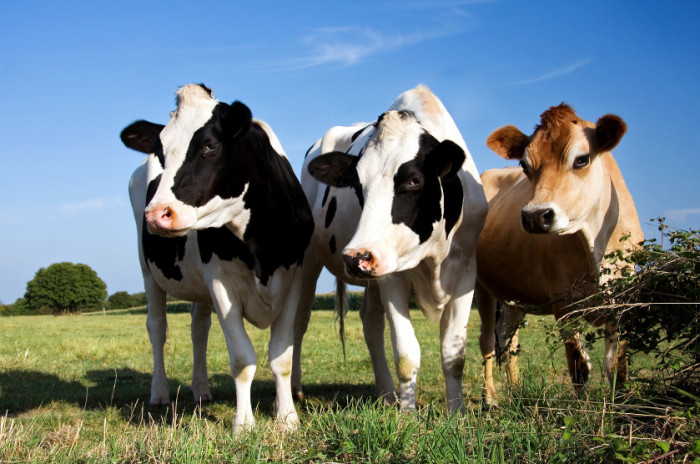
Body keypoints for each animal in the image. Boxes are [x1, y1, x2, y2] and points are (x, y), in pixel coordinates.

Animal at [120, 83, 313, 430]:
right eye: (161, 153)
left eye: (209, 147)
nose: (156, 215)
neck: (259, 244)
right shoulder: (221, 283)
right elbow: (242, 358)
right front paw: (244, 424)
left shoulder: (293, 278)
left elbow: (281, 356)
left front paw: (287, 418)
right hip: (148, 270)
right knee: (157, 328)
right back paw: (160, 392)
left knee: (199, 329)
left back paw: (201, 390)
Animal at [291, 85, 488, 413]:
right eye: (357, 185)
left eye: (414, 180)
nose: (355, 257)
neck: (433, 255)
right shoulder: (393, 276)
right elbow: (407, 354)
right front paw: (408, 415)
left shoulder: (465, 272)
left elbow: (454, 355)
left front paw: (456, 412)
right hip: (309, 260)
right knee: (300, 319)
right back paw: (296, 388)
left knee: (370, 323)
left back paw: (385, 394)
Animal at [475, 103, 643, 406]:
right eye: (525, 165)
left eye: (581, 159)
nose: (535, 216)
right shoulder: (563, 303)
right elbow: (579, 366)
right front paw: (579, 412)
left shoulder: (624, 299)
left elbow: (617, 365)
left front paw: (622, 405)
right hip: (481, 287)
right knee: (487, 343)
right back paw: (490, 398)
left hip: (515, 294)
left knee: (508, 339)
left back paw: (516, 391)